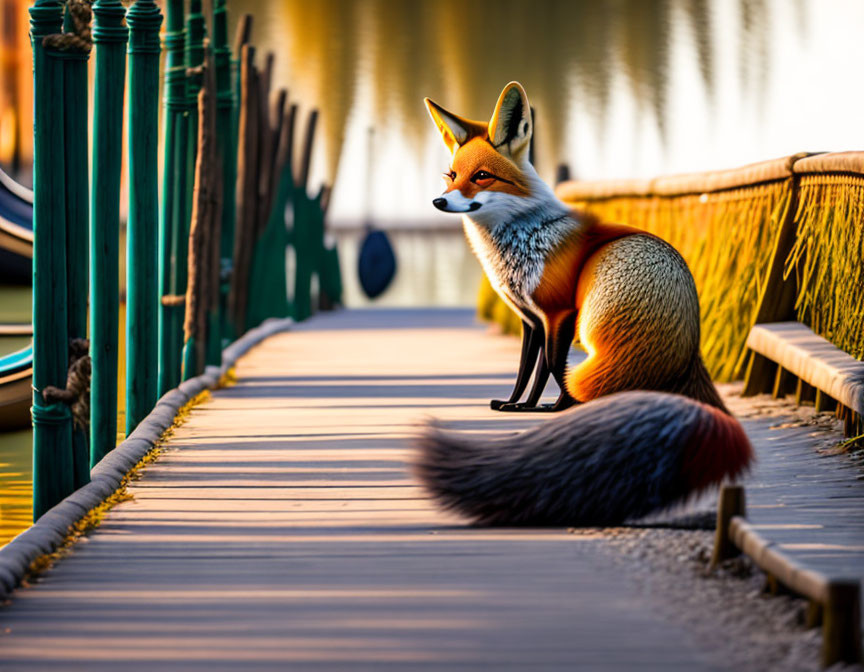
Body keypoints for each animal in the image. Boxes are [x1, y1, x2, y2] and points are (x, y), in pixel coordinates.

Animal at [422, 81, 724, 412]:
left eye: (481, 176)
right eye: (451, 176)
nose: (438, 201)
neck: (524, 241)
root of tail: (691, 350)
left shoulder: (559, 313)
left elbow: (554, 366)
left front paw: (556, 406)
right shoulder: (532, 320)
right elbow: (528, 371)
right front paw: (518, 404)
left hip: (598, 298)